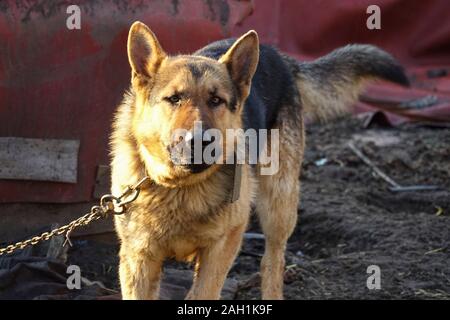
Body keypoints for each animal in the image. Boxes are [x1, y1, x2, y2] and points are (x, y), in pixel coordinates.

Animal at [110, 21, 410, 300]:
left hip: (279, 204)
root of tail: (279, 55)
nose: (200, 141)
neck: (180, 187)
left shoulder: (222, 247)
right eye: (173, 99)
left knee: (272, 262)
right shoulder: (138, 260)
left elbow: (206, 290)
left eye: (216, 100)